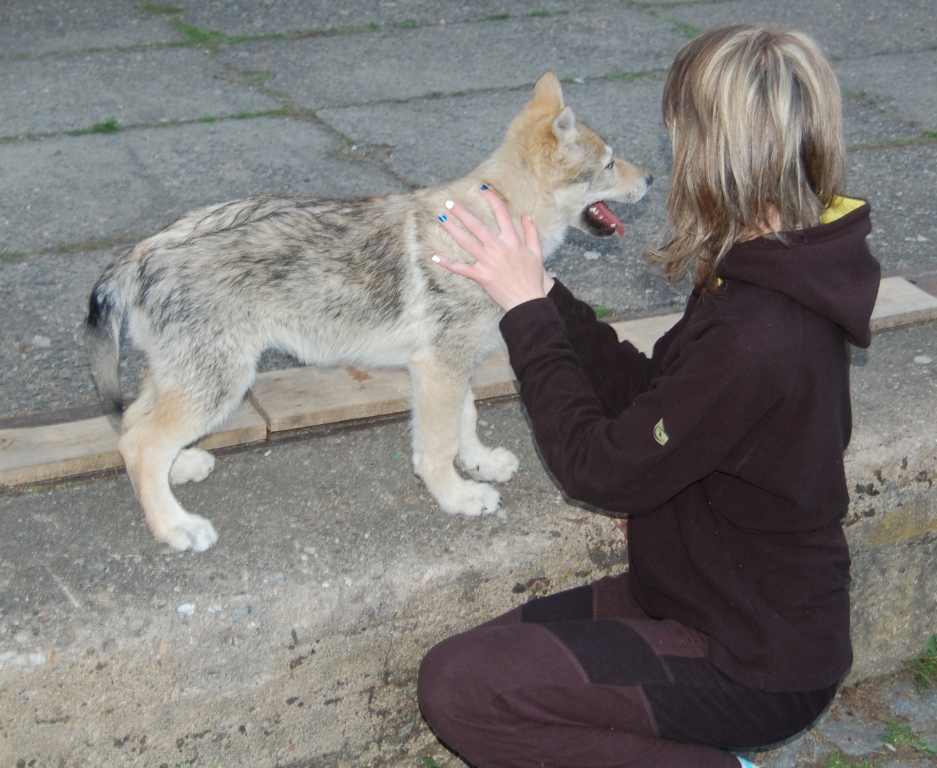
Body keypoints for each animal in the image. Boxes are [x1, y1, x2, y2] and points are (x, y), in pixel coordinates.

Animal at [86, 73, 652, 552]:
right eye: (609, 164)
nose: (650, 176)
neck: (497, 219)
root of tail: (146, 249)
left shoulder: (452, 363)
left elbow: (465, 422)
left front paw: (480, 464)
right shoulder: (438, 366)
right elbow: (437, 444)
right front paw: (458, 496)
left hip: (188, 377)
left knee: (133, 426)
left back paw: (181, 469)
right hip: (221, 382)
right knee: (142, 444)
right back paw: (176, 527)